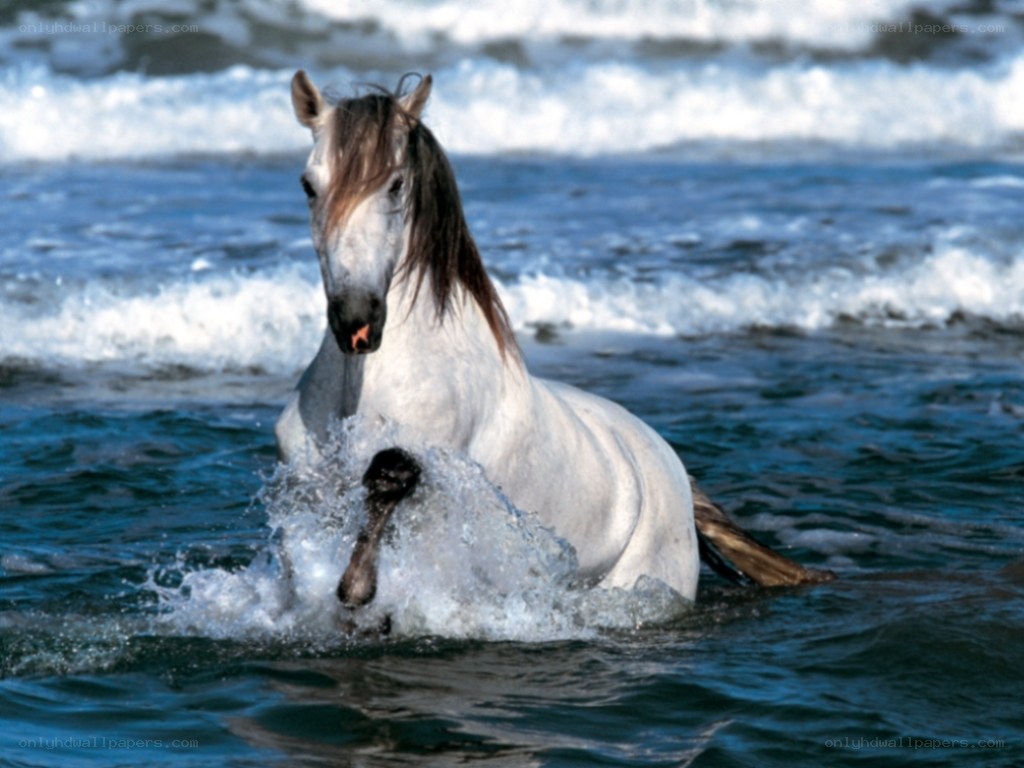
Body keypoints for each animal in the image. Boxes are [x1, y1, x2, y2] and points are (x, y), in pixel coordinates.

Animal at [275, 71, 833, 605]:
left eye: (394, 185)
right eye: (307, 185)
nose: (356, 319)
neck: (362, 385)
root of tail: (673, 468)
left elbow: (391, 479)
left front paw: (358, 589)